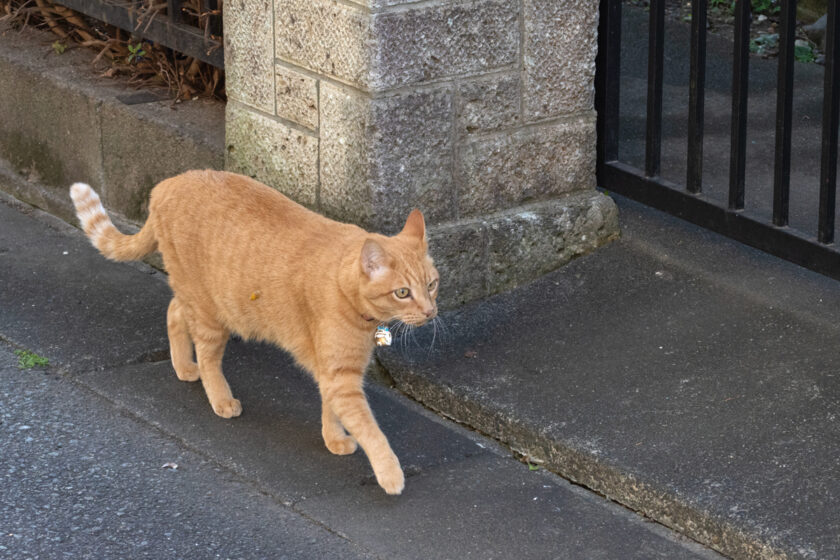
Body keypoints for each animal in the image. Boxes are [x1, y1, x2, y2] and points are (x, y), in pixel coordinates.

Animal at [70, 171, 440, 494]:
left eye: (432, 285)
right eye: (403, 293)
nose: (430, 312)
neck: (345, 287)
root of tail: (167, 184)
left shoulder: (335, 372)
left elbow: (331, 409)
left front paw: (332, 439)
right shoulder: (342, 377)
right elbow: (371, 430)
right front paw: (390, 474)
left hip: (196, 298)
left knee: (174, 312)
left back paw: (183, 367)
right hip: (212, 313)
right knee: (207, 357)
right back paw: (220, 398)